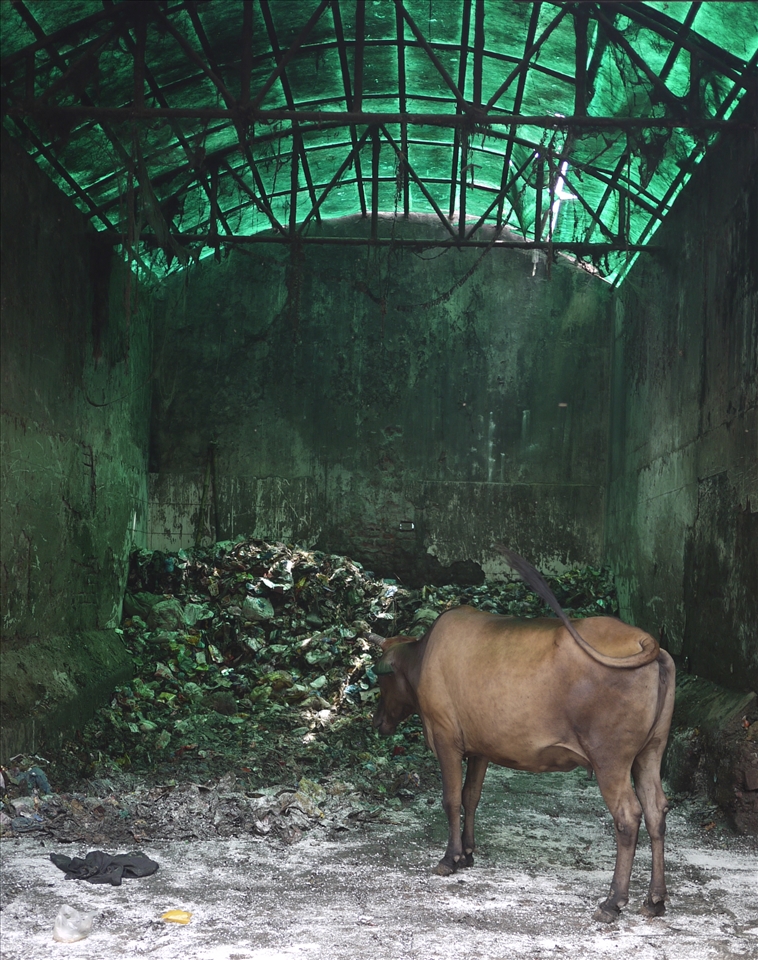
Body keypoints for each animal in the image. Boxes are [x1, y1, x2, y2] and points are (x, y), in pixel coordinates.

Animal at [371, 547, 675, 923]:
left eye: (381, 679)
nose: (376, 721)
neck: (422, 657)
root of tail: (645, 639)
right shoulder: (481, 747)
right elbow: (471, 796)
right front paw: (467, 853)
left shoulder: (445, 737)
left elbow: (451, 798)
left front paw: (449, 858)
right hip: (650, 751)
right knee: (656, 809)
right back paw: (655, 899)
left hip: (611, 759)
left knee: (628, 816)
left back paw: (612, 901)